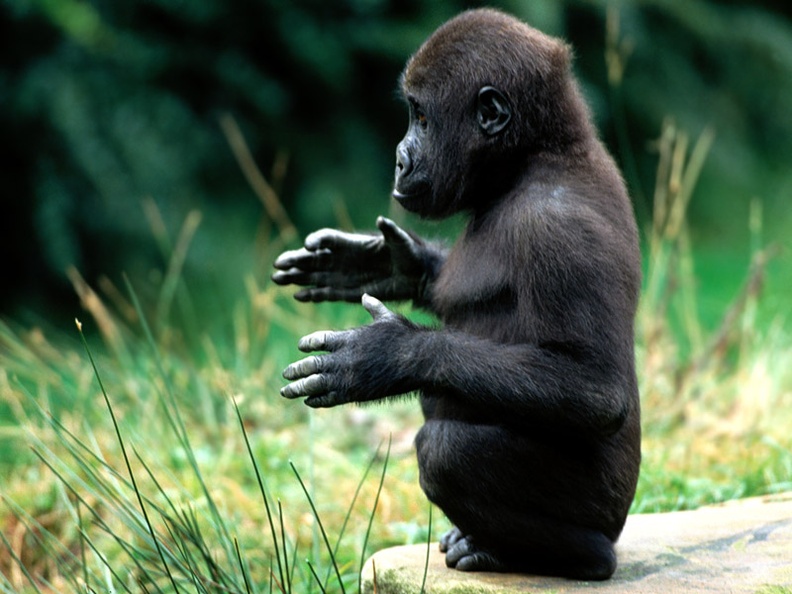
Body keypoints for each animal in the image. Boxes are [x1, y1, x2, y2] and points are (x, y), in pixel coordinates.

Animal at [272, 8, 641, 580]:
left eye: (422, 118)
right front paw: (389, 265)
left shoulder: (557, 226)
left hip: (604, 509)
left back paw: (573, 554)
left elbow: (596, 389)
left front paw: (387, 355)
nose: (399, 159)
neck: (533, 159)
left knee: (446, 451)